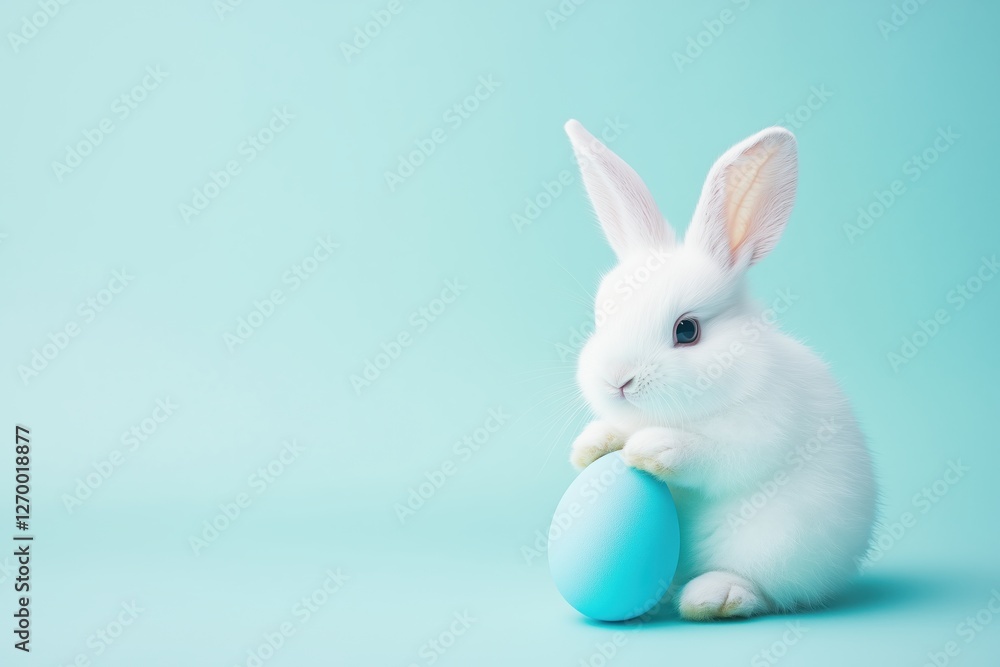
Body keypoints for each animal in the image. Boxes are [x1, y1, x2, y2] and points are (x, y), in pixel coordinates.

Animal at [563, 119, 877, 621]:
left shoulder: (758, 433)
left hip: (776, 547)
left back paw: (713, 595)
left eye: (687, 330)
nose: (617, 381)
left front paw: (651, 448)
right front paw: (592, 446)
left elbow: (710, 455)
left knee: (768, 592)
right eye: (601, 316)